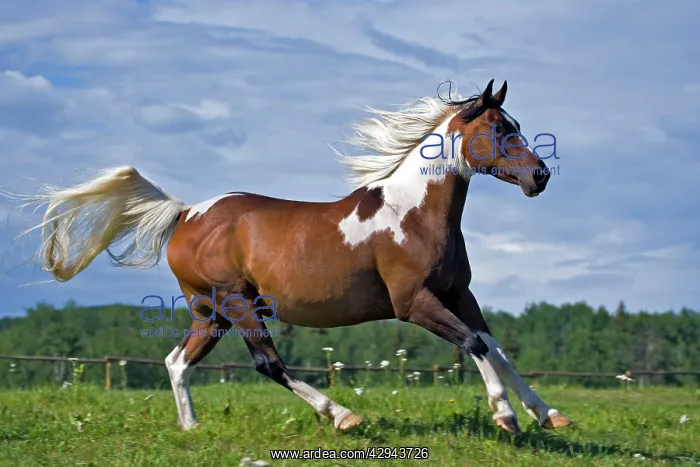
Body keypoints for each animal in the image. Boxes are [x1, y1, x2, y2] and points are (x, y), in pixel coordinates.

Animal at [15, 78, 571, 434]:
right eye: (500, 129)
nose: (540, 176)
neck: (412, 215)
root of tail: (187, 213)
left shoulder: (459, 294)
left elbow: (493, 345)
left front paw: (548, 415)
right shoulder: (413, 303)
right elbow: (474, 345)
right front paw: (506, 416)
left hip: (211, 313)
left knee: (177, 361)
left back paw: (191, 428)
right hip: (237, 303)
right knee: (268, 364)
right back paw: (342, 415)